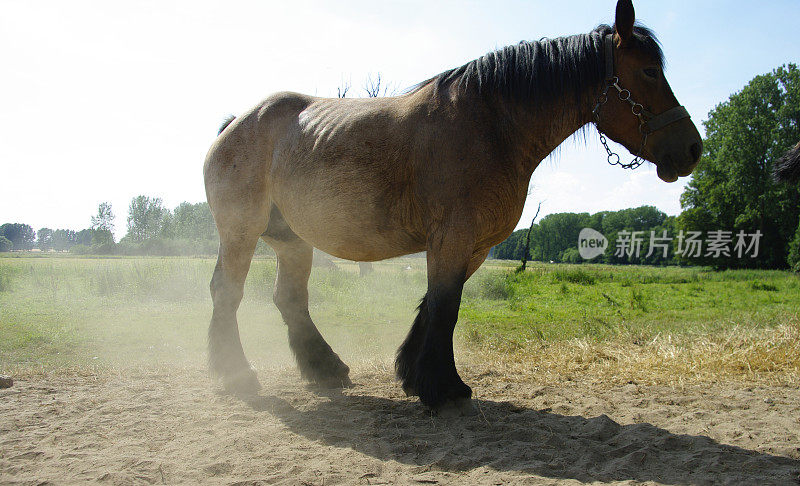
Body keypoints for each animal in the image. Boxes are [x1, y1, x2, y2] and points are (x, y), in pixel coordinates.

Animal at [205, 0, 700, 418]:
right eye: (649, 71)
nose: (692, 149)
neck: (490, 127)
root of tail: (235, 123)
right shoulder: (452, 238)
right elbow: (445, 308)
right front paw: (441, 388)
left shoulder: (470, 246)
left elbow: (436, 305)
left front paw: (416, 375)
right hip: (240, 232)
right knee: (227, 293)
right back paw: (236, 375)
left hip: (291, 241)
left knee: (289, 300)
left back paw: (325, 370)